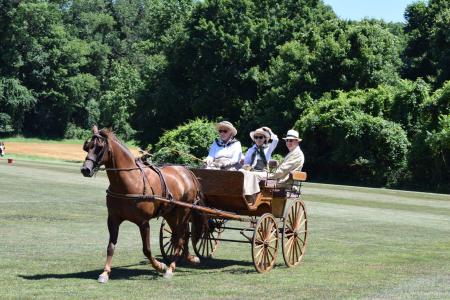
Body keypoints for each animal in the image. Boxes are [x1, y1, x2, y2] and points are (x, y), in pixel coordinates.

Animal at [81, 125, 200, 280]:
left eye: (99, 147)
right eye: (87, 146)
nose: (85, 169)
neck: (130, 180)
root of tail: (187, 172)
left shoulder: (143, 222)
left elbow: (147, 249)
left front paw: (160, 266)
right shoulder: (113, 219)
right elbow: (111, 246)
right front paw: (105, 272)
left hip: (184, 211)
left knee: (180, 237)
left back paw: (171, 268)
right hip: (171, 214)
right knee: (180, 235)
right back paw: (189, 258)